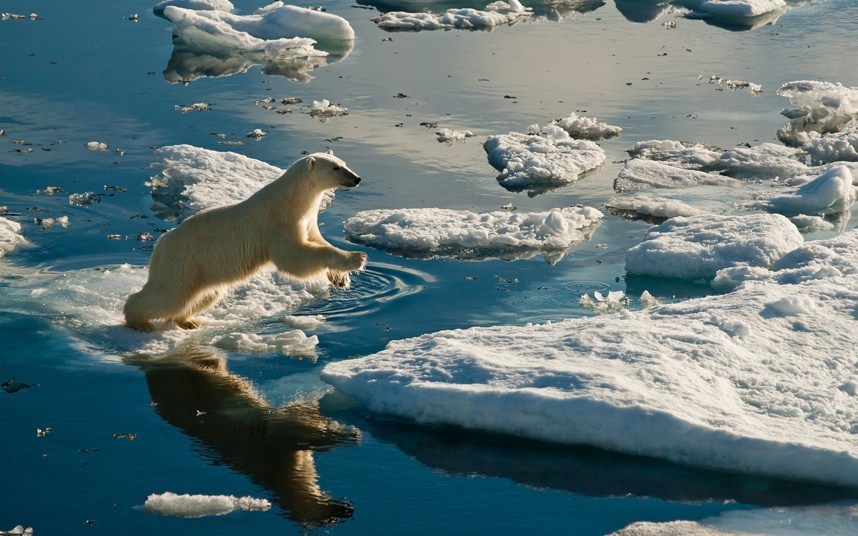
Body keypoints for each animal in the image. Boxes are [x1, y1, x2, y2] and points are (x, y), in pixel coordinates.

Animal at [123, 151, 364, 330]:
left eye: (344, 163)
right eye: (335, 168)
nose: (357, 178)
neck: (294, 198)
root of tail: (161, 243)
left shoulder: (307, 219)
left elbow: (317, 241)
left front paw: (340, 277)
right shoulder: (278, 221)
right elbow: (293, 257)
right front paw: (357, 258)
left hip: (201, 270)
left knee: (203, 295)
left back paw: (189, 321)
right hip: (183, 260)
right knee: (169, 295)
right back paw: (140, 321)